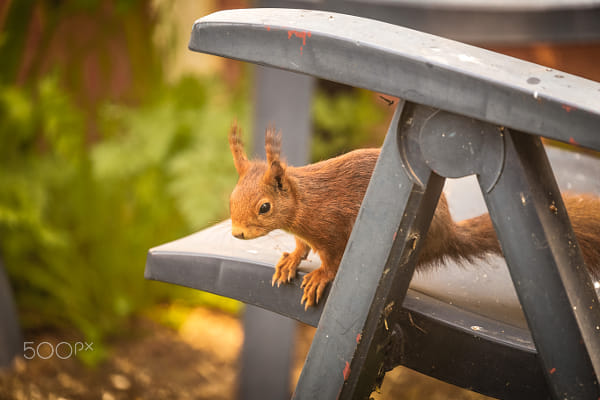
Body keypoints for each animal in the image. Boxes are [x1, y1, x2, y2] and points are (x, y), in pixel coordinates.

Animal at [229, 123, 600, 308]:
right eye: (231, 198)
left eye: (264, 207)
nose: (236, 234)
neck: (305, 202)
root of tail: (448, 234)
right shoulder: (305, 232)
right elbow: (301, 246)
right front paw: (291, 260)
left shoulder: (331, 229)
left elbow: (331, 260)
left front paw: (319, 276)